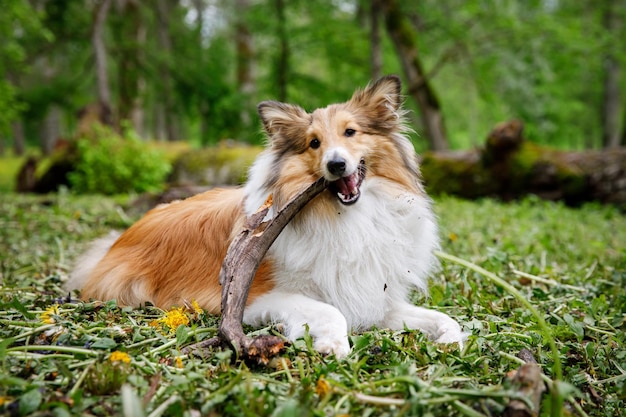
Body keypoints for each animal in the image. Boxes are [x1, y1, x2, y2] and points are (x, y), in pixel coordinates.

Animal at [66, 75, 466, 358]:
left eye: (351, 132)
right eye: (314, 143)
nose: (336, 165)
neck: (348, 218)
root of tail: (115, 241)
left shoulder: (372, 297)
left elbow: (442, 317)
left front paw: (453, 337)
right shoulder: (261, 298)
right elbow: (330, 311)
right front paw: (333, 344)